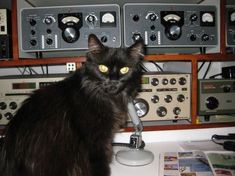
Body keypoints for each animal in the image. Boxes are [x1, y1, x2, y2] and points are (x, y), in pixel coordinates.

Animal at [0, 34, 144, 176]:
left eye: (124, 69)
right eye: (103, 68)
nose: (113, 82)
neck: (106, 98)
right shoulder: (95, 142)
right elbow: (100, 167)